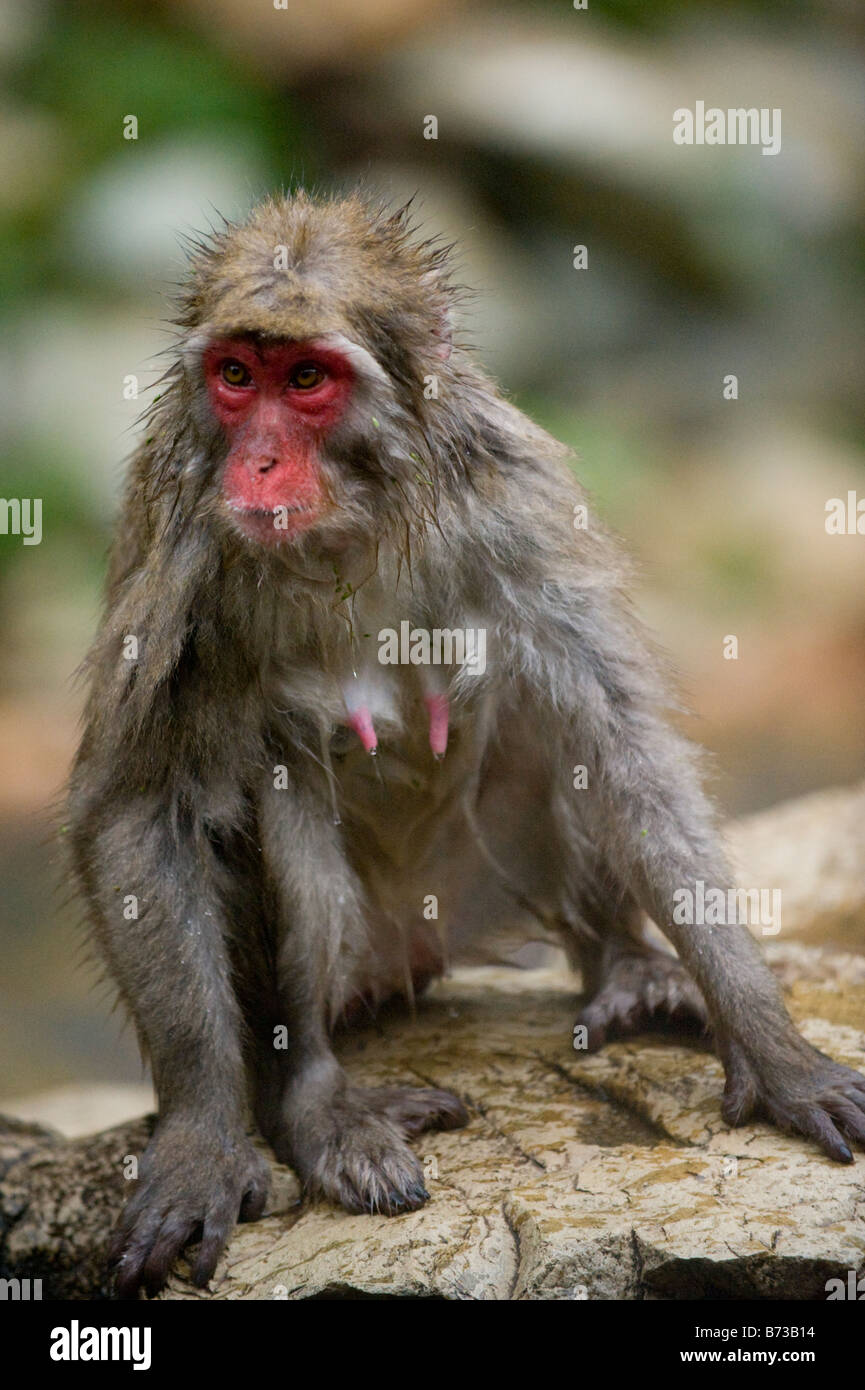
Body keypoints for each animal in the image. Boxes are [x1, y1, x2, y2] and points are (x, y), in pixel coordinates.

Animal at [67, 190, 865, 1299]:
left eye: (304, 379)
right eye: (234, 376)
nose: (256, 463)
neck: (352, 521)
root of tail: (415, 949)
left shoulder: (511, 493)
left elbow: (619, 733)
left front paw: (773, 1044)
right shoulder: (181, 537)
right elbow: (137, 803)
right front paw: (198, 1141)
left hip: (478, 883)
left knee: (549, 715)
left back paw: (626, 964)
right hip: (365, 952)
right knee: (274, 783)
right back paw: (311, 1100)